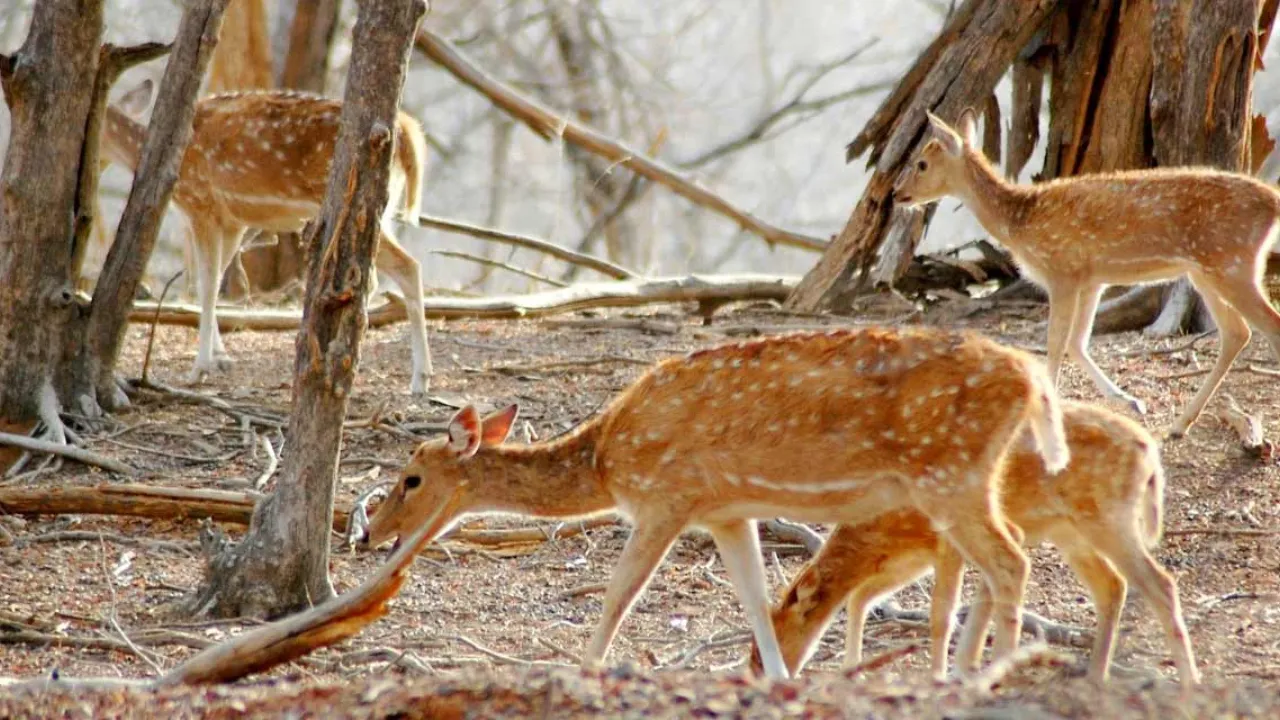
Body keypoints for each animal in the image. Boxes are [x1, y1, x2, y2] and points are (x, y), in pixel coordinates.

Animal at [99, 83, 430, 392]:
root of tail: (406, 130)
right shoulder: (234, 221)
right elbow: (214, 281)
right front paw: (221, 358)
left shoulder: (201, 203)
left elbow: (205, 286)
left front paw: (200, 367)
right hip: (382, 209)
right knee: (388, 271)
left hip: (356, 203)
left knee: (405, 267)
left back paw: (417, 378)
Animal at [360, 327, 1070, 676]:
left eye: (411, 478)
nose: (368, 533)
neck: (606, 460)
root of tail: (1031, 379)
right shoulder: (727, 511)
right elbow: (756, 599)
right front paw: (778, 678)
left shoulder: (667, 498)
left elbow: (619, 594)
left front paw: (583, 669)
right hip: (964, 477)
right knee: (1001, 557)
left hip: (949, 471)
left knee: (1010, 559)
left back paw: (992, 670)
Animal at [742, 399, 1198, 686]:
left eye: (767, 645)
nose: (754, 675)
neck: (886, 528)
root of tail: (1149, 451)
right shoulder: (914, 554)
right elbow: (861, 599)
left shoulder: (947, 541)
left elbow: (941, 613)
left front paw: (944, 673)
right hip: (1071, 533)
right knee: (1113, 586)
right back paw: (1094, 676)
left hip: (1108, 519)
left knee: (1160, 583)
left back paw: (1189, 680)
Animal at [890, 109, 1280, 435]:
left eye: (921, 163)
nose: (896, 194)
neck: (1021, 222)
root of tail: (1273, 201)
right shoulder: (1092, 278)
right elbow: (1077, 342)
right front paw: (1130, 401)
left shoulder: (1061, 271)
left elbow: (1054, 342)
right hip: (1208, 271)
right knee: (1237, 333)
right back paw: (1179, 424)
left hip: (1231, 263)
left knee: (1266, 326)